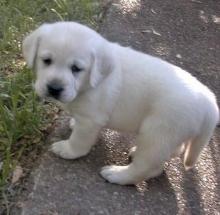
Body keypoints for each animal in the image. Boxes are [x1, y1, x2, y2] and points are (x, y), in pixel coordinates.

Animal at [22, 22, 218, 186]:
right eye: (46, 60)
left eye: (76, 69)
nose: (54, 88)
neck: (91, 83)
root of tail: (209, 102)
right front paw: (72, 123)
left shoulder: (90, 120)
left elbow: (79, 141)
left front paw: (68, 150)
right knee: (172, 152)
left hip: (158, 133)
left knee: (146, 168)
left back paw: (118, 175)